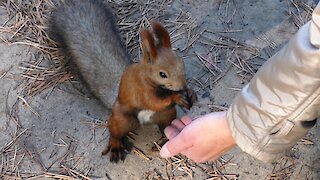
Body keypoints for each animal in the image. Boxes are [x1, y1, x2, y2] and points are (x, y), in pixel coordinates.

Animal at [48, 0, 196, 163]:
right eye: (162, 74)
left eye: (181, 63)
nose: (182, 86)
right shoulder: (139, 90)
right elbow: (154, 101)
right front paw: (176, 96)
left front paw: (190, 93)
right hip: (122, 120)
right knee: (115, 131)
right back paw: (116, 145)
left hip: (166, 115)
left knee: (165, 127)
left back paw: (165, 139)